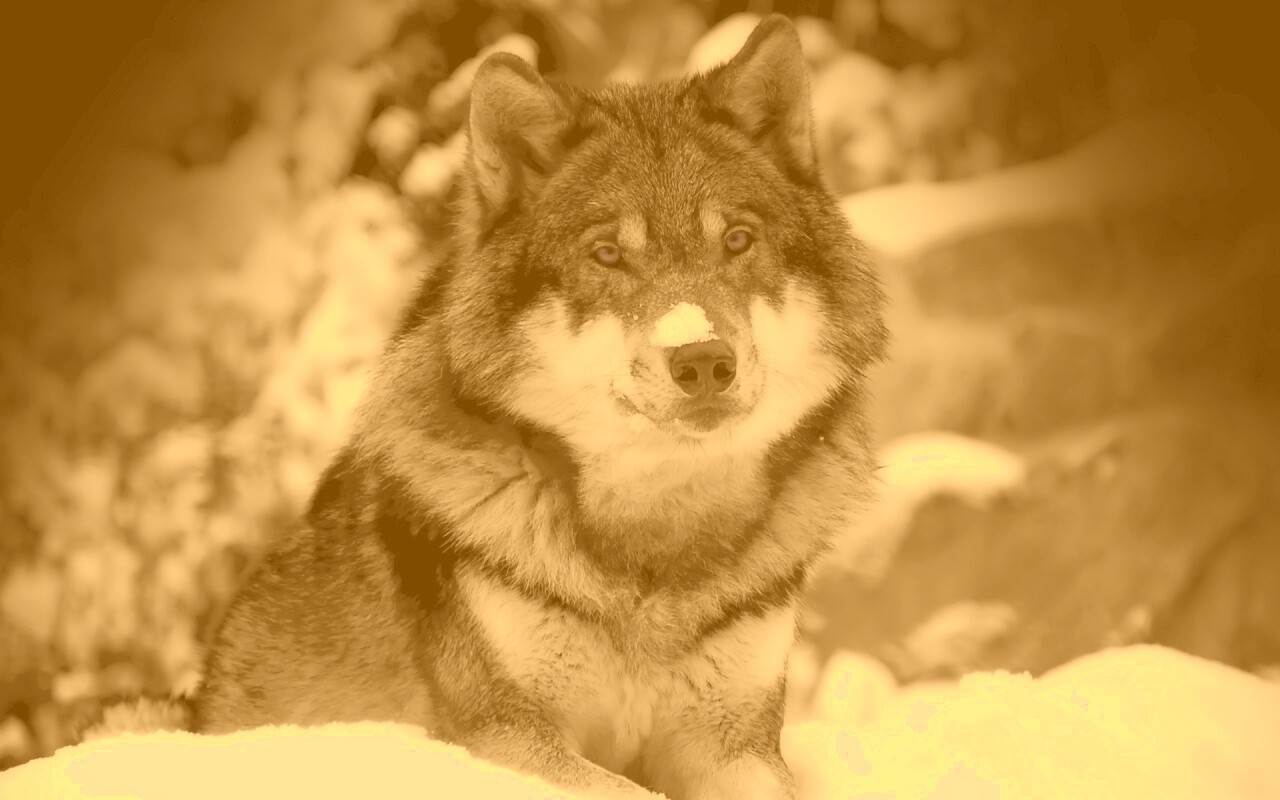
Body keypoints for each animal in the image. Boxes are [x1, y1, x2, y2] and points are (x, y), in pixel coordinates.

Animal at [192, 15, 886, 800]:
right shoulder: (504, 736)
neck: (653, 548)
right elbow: (629, 792)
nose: (703, 359)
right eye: (607, 254)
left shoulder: (734, 744)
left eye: (738, 240)